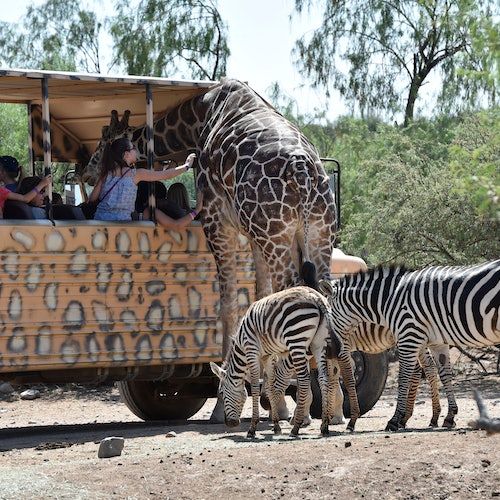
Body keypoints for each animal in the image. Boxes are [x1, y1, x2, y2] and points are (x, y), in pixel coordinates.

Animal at [84, 78, 338, 422]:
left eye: (104, 142)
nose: (87, 172)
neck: (198, 117)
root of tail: (303, 171)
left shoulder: (217, 220)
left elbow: (228, 305)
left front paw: (226, 403)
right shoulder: (253, 234)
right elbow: (258, 299)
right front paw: (270, 397)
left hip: (278, 232)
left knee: (293, 293)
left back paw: (302, 405)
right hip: (318, 232)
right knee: (326, 294)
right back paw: (332, 410)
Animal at [208, 286, 360, 438]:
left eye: (221, 393)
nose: (230, 424)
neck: (241, 344)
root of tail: (317, 297)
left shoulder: (251, 350)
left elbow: (255, 386)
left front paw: (252, 428)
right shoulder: (267, 356)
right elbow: (270, 386)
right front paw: (276, 426)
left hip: (296, 339)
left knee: (304, 380)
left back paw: (296, 428)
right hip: (319, 343)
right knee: (324, 379)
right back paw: (324, 426)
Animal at [318, 260, 498, 432]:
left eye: (328, 316)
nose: (331, 348)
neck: (389, 299)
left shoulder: (407, 336)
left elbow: (399, 377)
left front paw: (385, 420)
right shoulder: (433, 340)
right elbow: (444, 373)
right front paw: (449, 416)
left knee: (418, 370)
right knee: (429, 368)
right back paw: (431, 417)